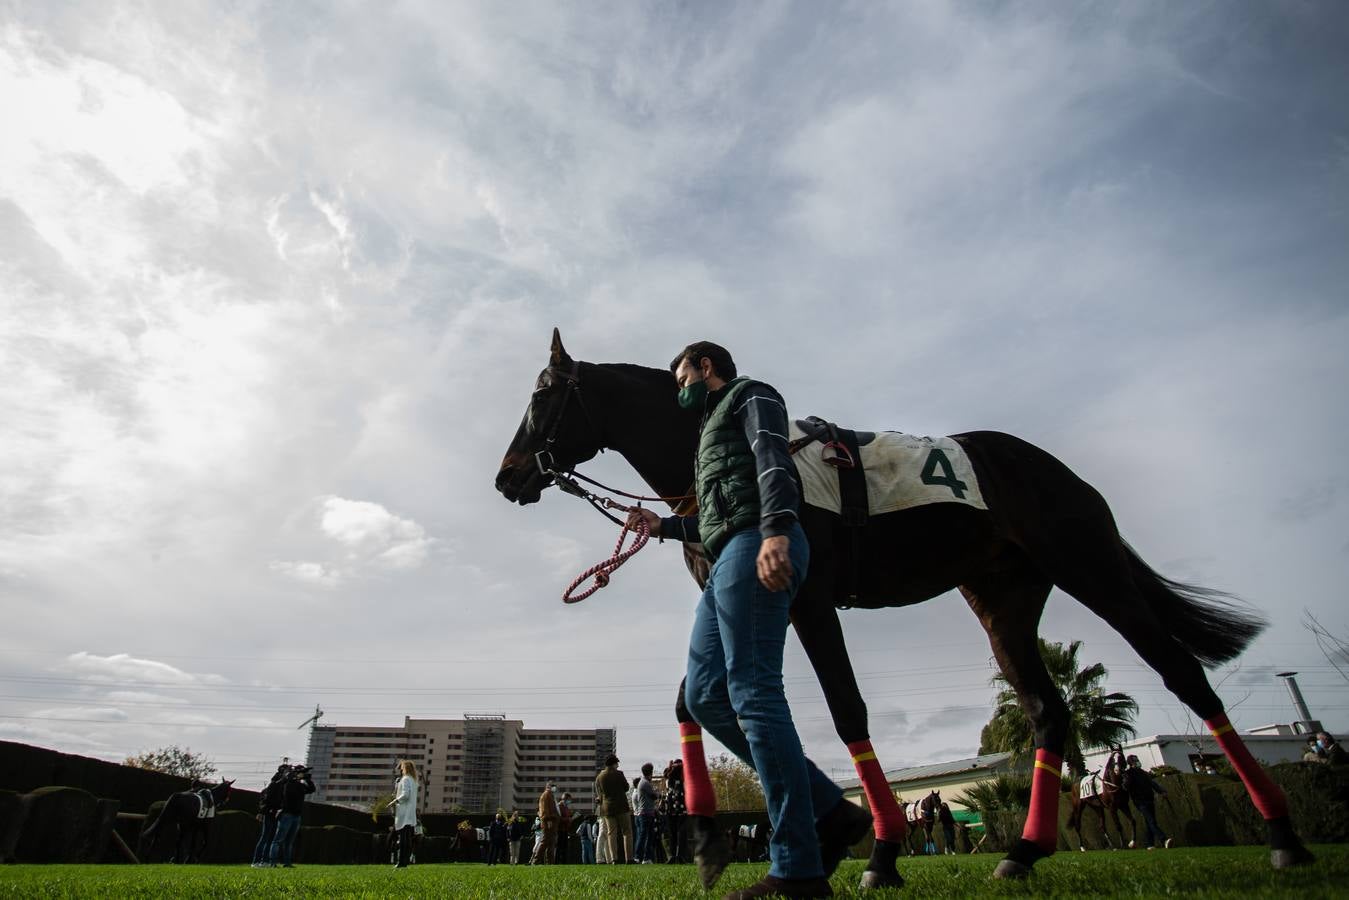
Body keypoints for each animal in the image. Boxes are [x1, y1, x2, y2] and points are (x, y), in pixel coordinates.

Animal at [493, 333, 1305, 885]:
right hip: (1003, 602)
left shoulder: (807, 600)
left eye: (540, 398)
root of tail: (1055, 468)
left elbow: (846, 709)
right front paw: (718, 843)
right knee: (1047, 710)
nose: (505, 478)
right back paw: (1022, 851)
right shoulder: (734, 607)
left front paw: (878, 850)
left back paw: (1283, 835)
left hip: (1091, 568)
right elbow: (694, 705)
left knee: (1182, 674)